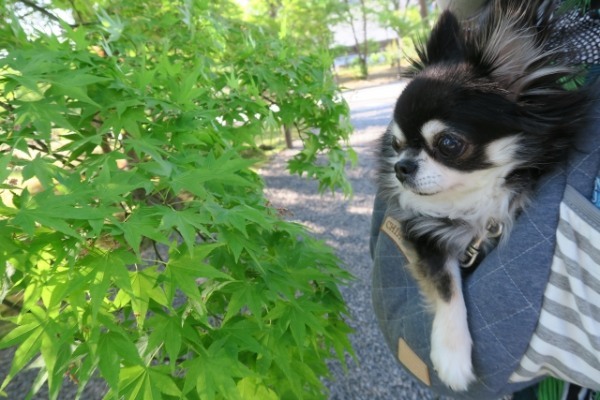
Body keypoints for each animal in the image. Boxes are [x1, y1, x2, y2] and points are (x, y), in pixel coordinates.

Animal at [380, 0, 592, 392]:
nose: (401, 167)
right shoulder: (426, 235)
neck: (475, 199)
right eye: (396, 144)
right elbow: (447, 288)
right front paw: (452, 354)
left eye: (449, 144)